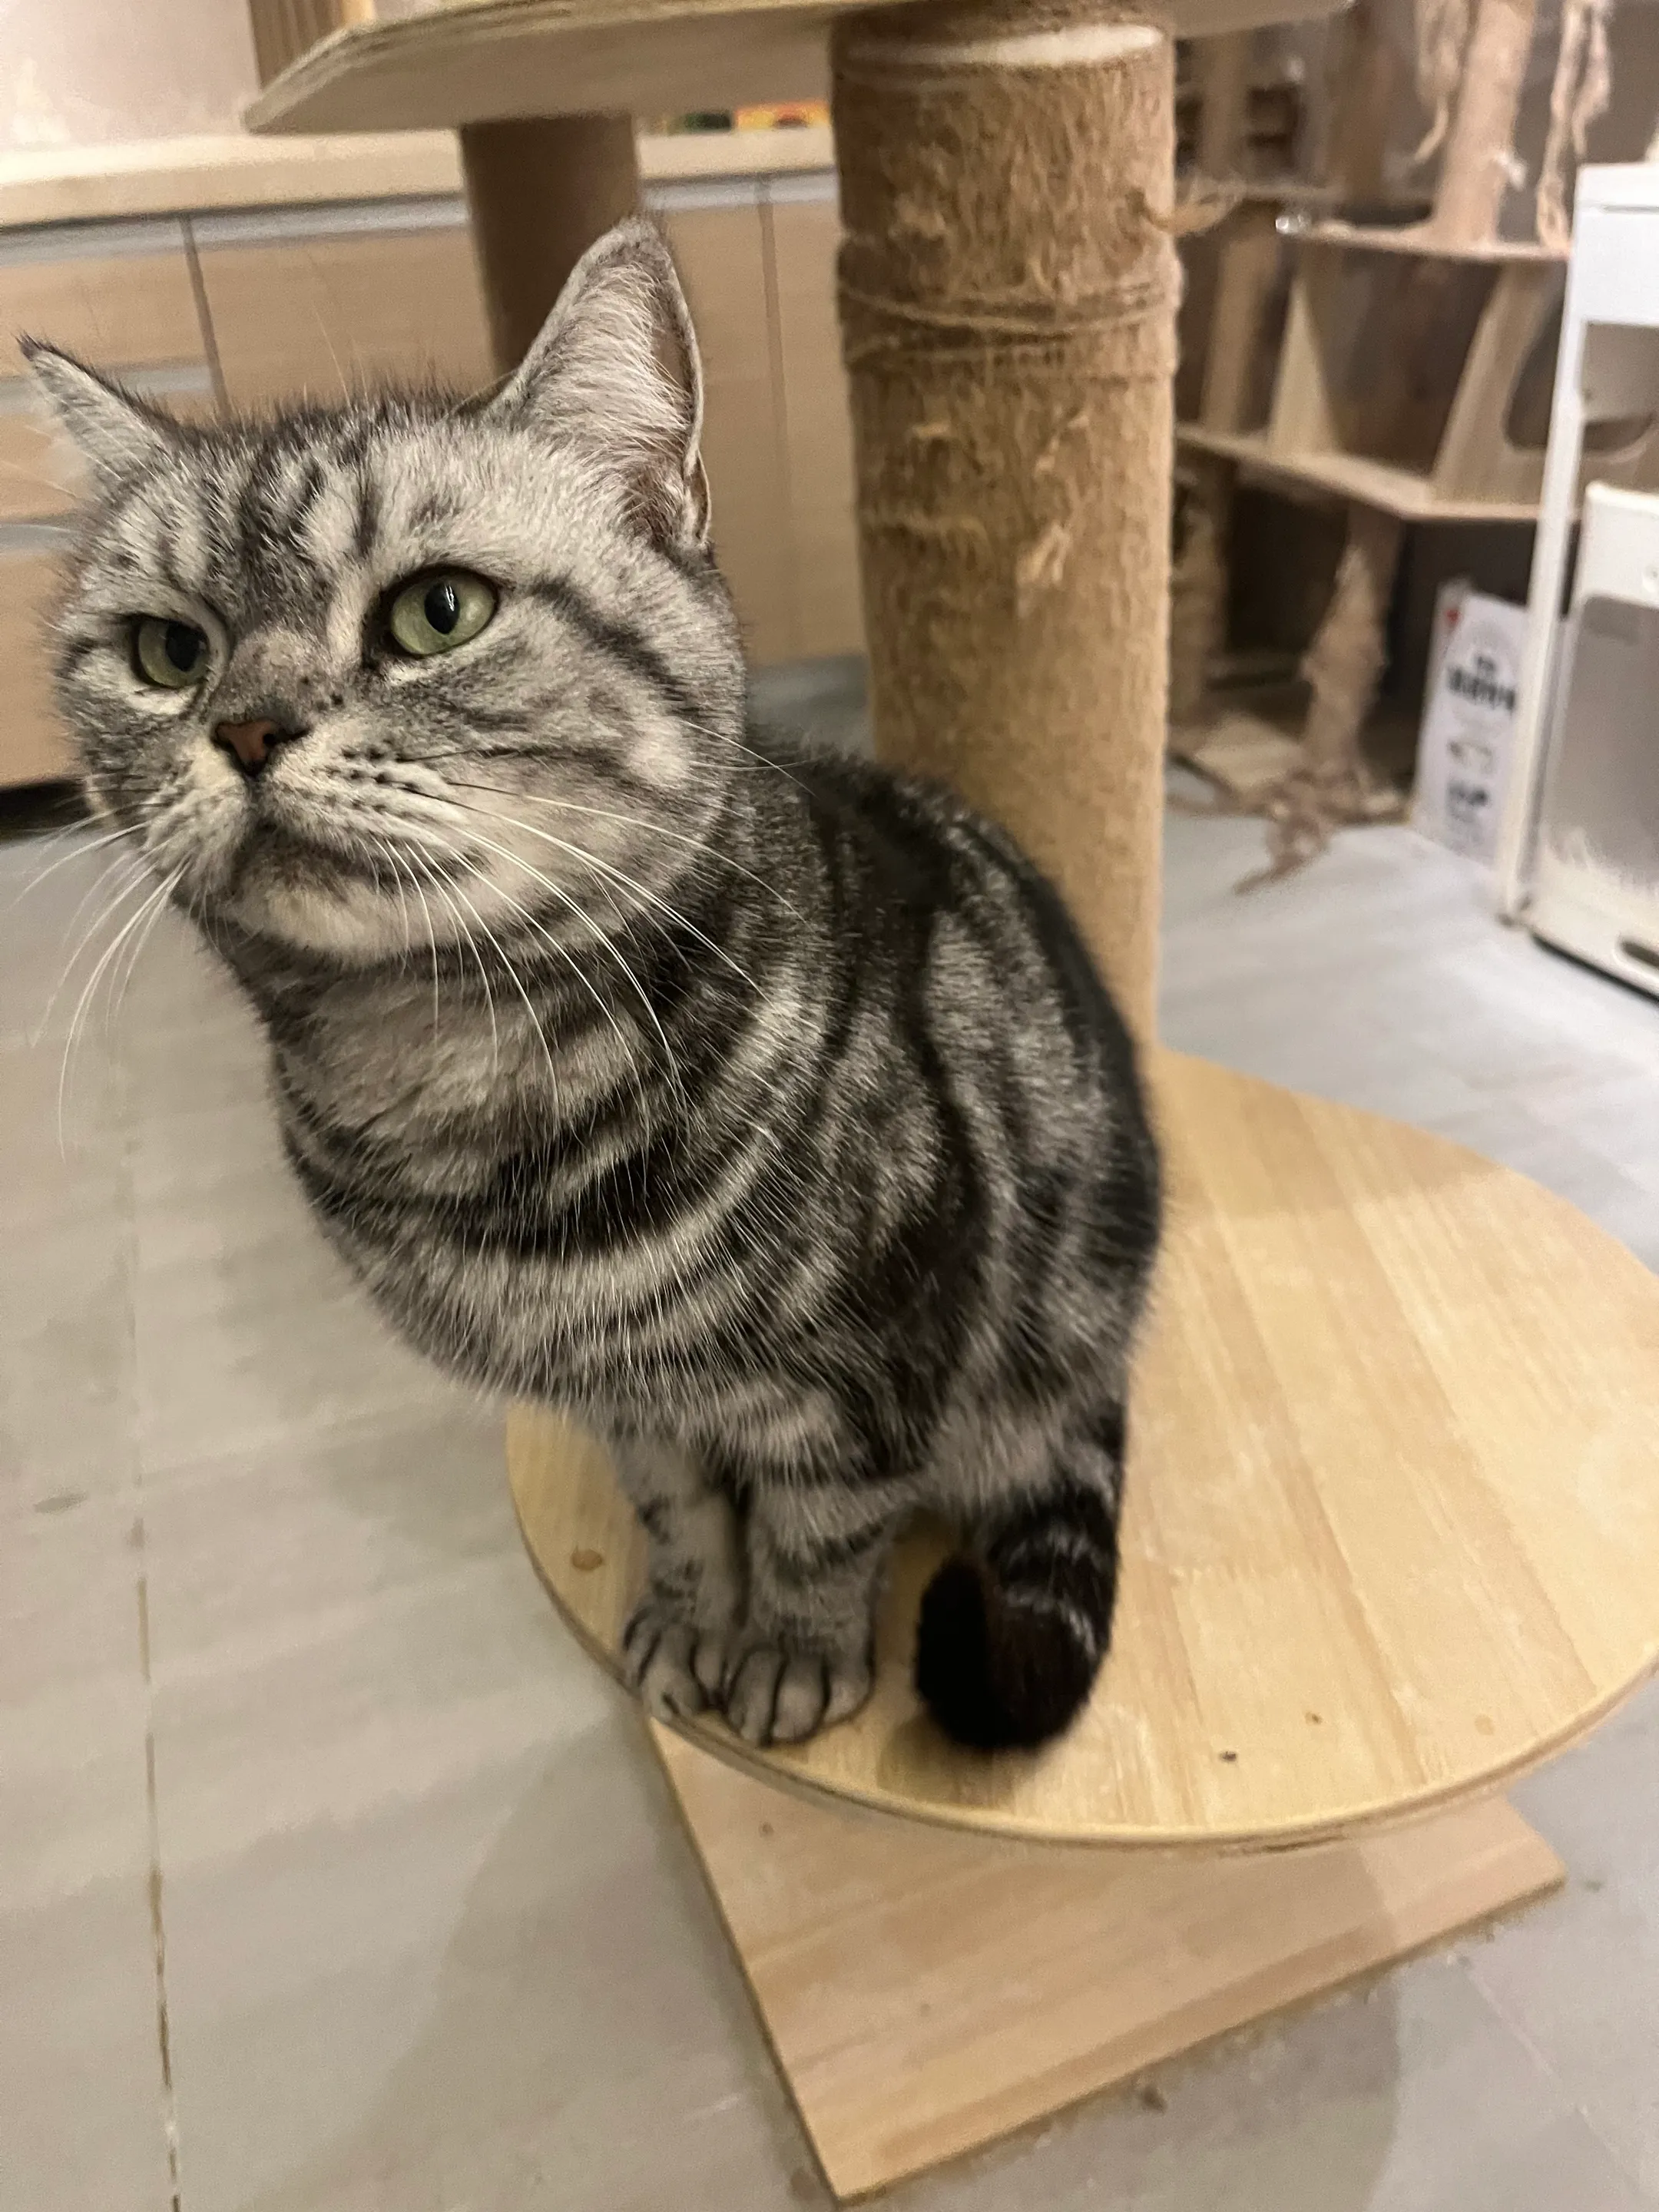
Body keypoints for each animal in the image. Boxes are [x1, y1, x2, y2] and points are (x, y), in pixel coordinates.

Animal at [28, 216, 1161, 1752]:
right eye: (168, 652)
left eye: (438, 613)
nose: (247, 727)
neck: (450, 1076)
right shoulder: (632, 1405)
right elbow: (684, 1521)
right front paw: (692, 1627)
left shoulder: (867, 1384)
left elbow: (815, 1538)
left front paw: (791, 1658)